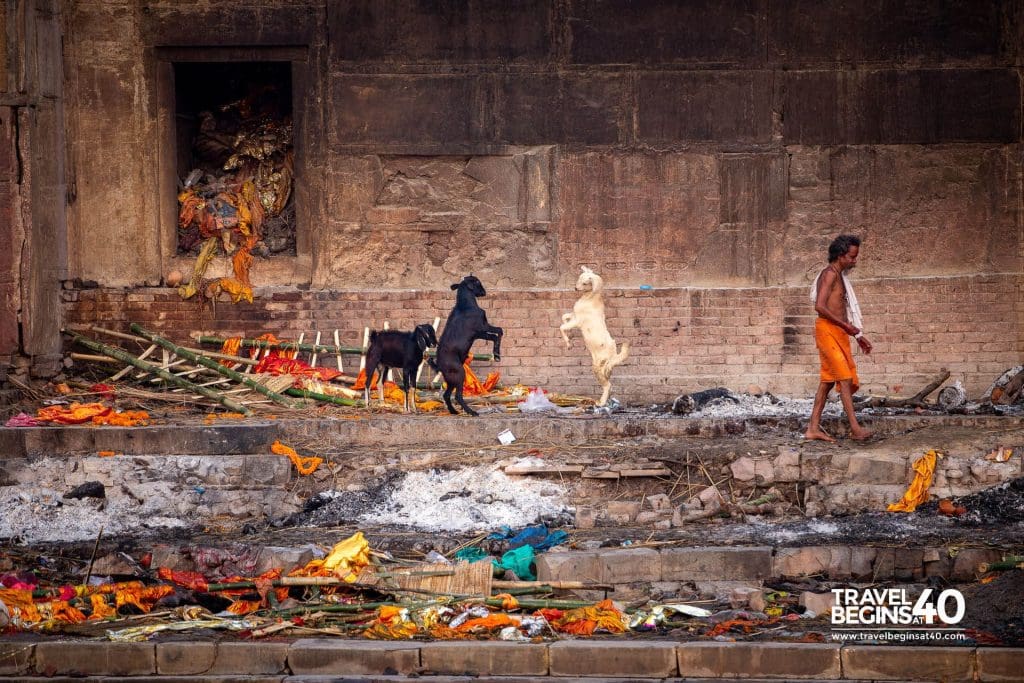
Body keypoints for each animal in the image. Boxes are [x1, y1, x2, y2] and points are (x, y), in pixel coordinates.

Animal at [428, 274, 499, 417]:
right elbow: (498, 333)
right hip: (460, 374)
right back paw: (471, 411)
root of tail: (439, 366)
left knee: (446, 395)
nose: (484, 292)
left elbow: (497, 333)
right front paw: (497, 353)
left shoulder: (481, 332)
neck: (466, 305)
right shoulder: (482, 329)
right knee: (458, 396)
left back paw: (453, 411)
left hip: (451, 380)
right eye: (477, 281)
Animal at [565, 266, 626, 405]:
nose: (575, 288)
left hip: (597, 367)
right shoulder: (574, 316)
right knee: (609, 383)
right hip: (604, 368)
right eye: (579, 278)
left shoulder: (577, 322)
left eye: (585, 283)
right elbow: (564, 317)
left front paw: (568, 343)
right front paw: (569, 337)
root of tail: (614, 354)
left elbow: (562, 327)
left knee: (608, 385)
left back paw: (601, 402)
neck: (590, 298)